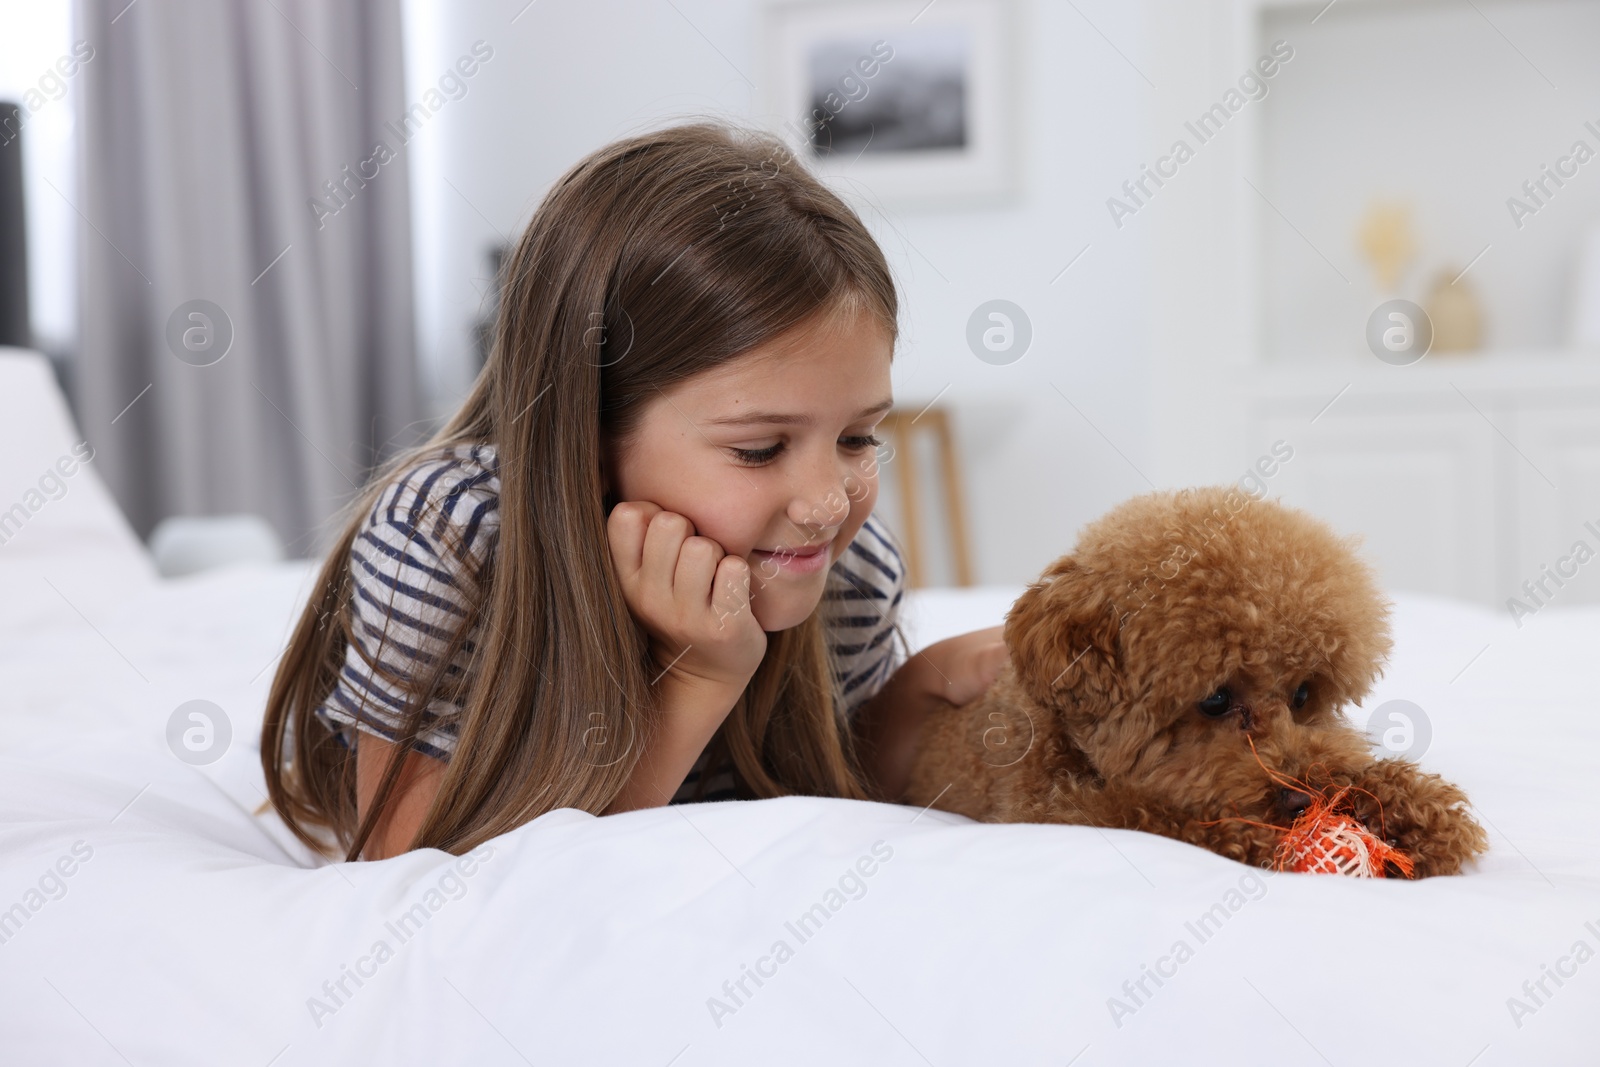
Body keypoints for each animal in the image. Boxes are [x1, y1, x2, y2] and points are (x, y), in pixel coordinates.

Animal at [915, 489, 1484, 883]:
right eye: (1215, 700)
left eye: (1303, 695)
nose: (1303, 799)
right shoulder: (1045, 812)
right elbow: (1146, 815)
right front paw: (1247, 840)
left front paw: (1412, 811)